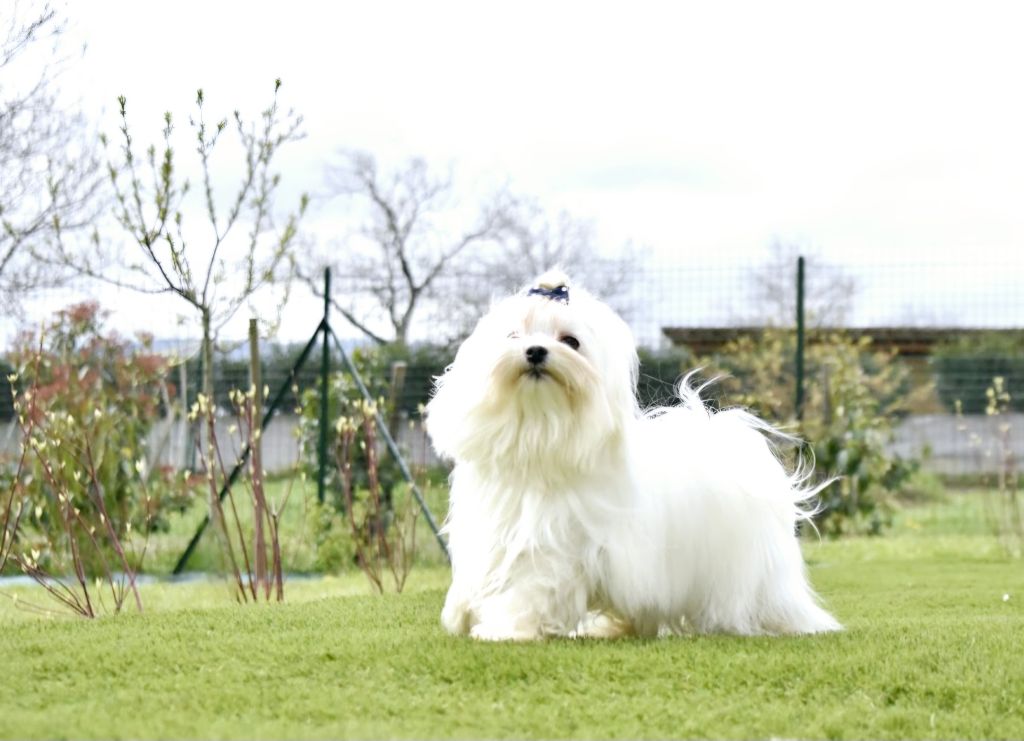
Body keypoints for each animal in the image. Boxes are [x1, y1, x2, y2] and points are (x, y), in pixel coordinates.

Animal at [423, 270, 839, 638]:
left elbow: (525, 591)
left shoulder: (548, 550)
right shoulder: (489, 532)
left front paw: (503, 630)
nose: (536, 351)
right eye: (514, 335)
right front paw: (460, 614)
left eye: (570, 341)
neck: (539, 434)